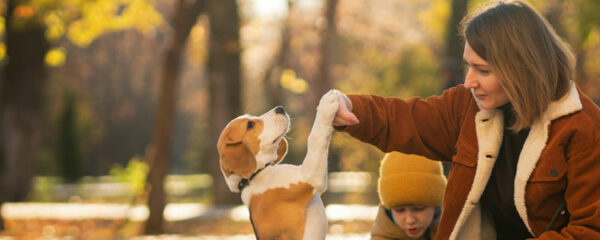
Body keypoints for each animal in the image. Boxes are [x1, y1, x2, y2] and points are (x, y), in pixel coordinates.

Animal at [217, 89, 340, 238]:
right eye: (250, 125)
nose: (280, 108)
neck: (253, 177)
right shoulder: (309, 175)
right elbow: (315, 137)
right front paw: (327, 103)